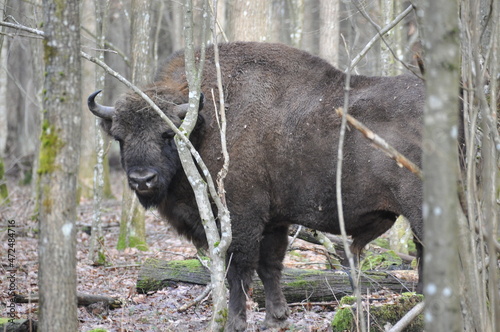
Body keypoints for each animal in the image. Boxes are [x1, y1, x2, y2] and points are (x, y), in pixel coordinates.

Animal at [88, 42, 424, 332]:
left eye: (168, 134)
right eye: (119, 136)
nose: (142, 180)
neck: (207, 122)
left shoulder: (241, 216)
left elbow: (239, 268)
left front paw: (235, 322)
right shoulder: (274, 220)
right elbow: (270, 266)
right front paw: (276, 318)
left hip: (418, 211)